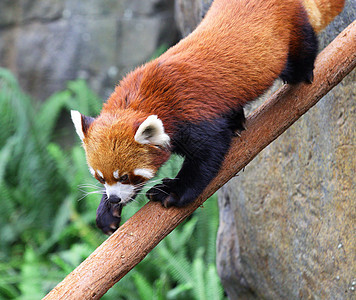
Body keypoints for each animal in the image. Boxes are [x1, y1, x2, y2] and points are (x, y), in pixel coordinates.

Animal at [70, 0, 344, 233]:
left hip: (290, 33)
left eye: (125, 176)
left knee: (303, 48)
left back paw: (304, 71)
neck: (140, 96)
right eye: (100, 177)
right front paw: (108, 211)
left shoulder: (191, 114)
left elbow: (207, 155)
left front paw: (172, 191)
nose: (114, 197)